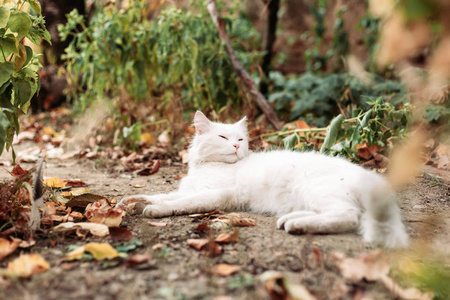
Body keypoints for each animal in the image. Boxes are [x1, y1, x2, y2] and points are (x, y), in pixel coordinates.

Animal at [118, 111, 408, 247]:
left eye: (240, 139)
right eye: (223, 137)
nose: (236, 146)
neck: (205, 167)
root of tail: (369, 177)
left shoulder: (216, 194)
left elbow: (179, 203)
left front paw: (153, 210)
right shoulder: (188, 188)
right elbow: (160, 195)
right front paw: (130, 202)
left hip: (316, 189)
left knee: (348, 216)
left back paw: (297, 226)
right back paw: (291, 221)